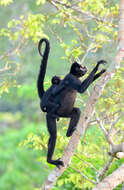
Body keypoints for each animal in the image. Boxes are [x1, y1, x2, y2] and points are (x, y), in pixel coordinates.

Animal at [36, 37, 106, 168]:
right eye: (81, 67)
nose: (85, 67)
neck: (74, 75)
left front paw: (100, 72)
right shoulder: (71, 78)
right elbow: (81, 89)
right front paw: (97, 67)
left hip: (64, 113)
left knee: (76, 111)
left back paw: (69, 133)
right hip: (52, 113)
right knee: (53, 135)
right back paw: (50, 160)